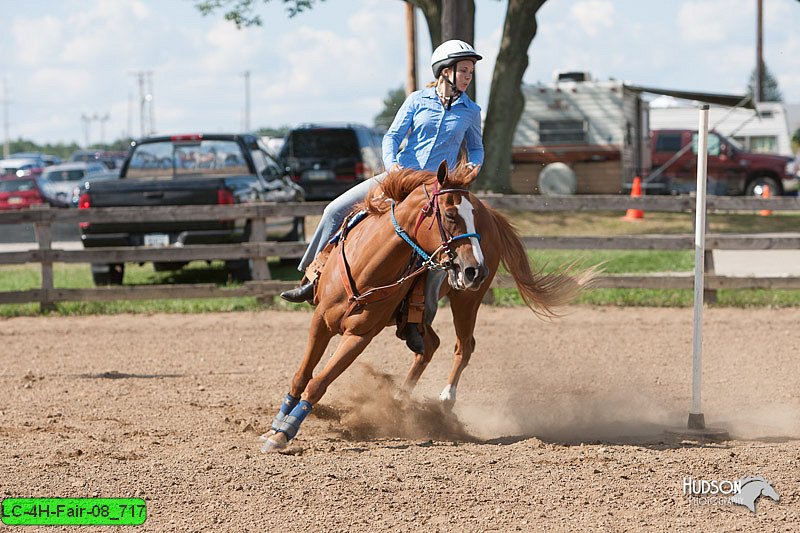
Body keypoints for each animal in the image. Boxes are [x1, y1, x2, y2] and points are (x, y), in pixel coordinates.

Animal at [262, 162, 592, 448]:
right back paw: (400, 401)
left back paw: (444, 399)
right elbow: (302, 375)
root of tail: (492, 213)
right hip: (425, 313)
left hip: (466, 298)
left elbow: (319, 381)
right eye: (450, 214)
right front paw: (278, 422)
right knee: (430, 345)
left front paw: (285, 433)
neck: (365, 265)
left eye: (470, 216)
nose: (477, 269)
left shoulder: (359, 336)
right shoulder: (320, 321)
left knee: (463, 346)